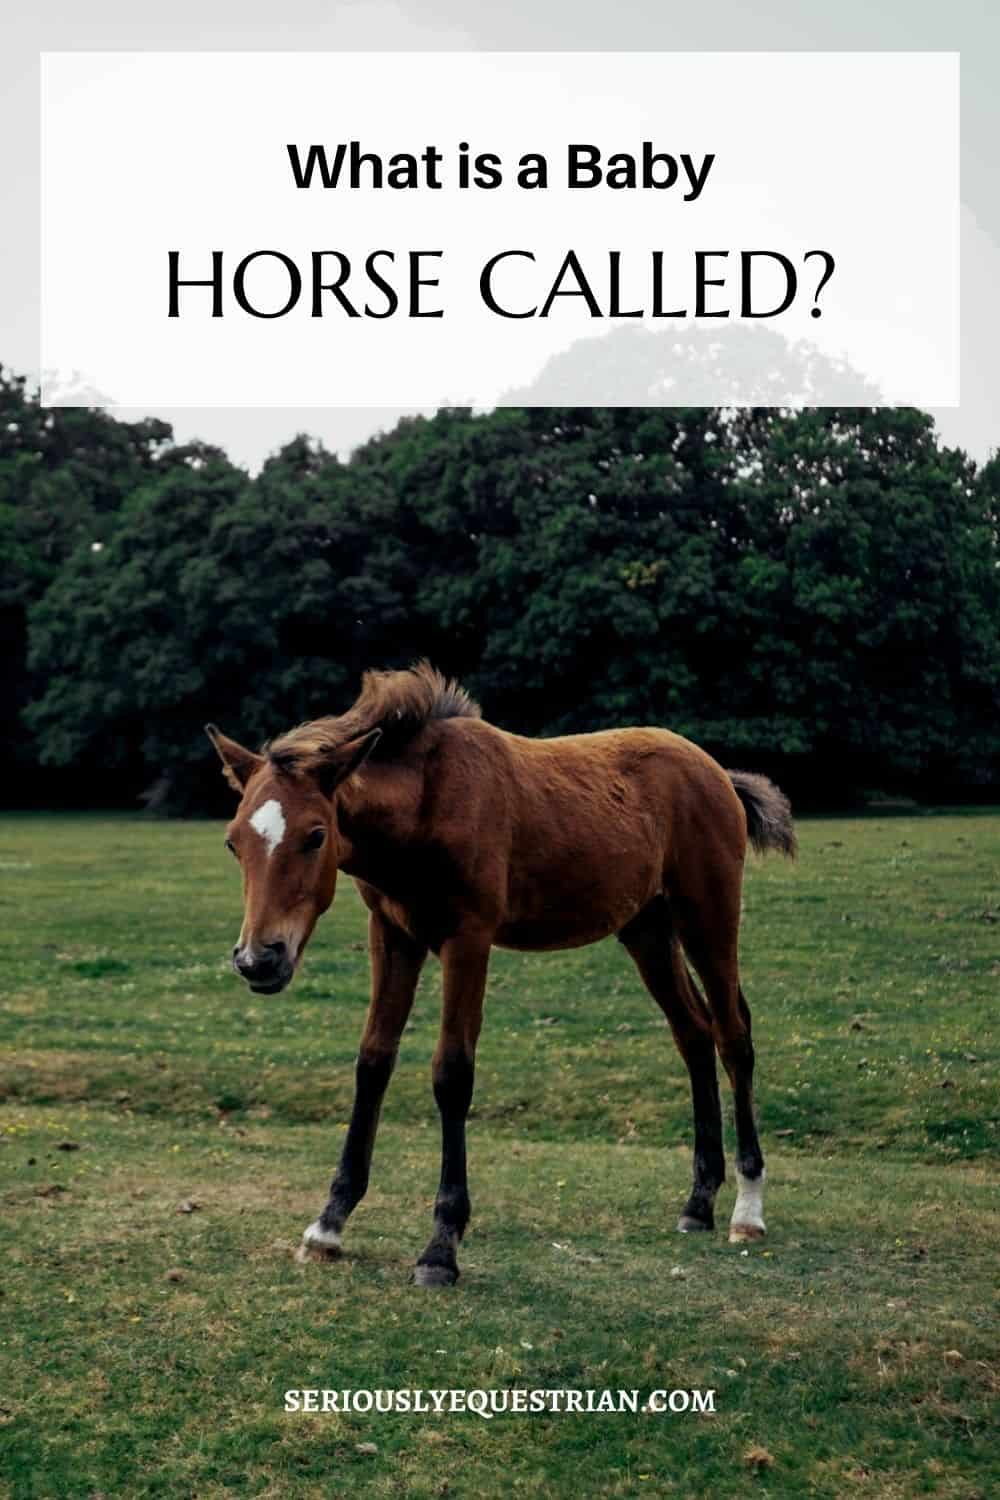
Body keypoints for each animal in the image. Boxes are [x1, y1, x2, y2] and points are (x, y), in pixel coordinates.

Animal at [206, 662, 796, 1285]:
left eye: (316, 835)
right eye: (233, 841)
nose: (259, 959)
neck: (428, 802)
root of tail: (717, 772)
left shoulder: (468, 938)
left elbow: (451, 1072)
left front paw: (440, 1247)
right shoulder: (392, 934)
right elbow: (373, 1062)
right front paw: (328, 1224)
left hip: (708, 914)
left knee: (733, 1035)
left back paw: (747, 1210)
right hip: (647, 929)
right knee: (693, 1033)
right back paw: (698, 1203)